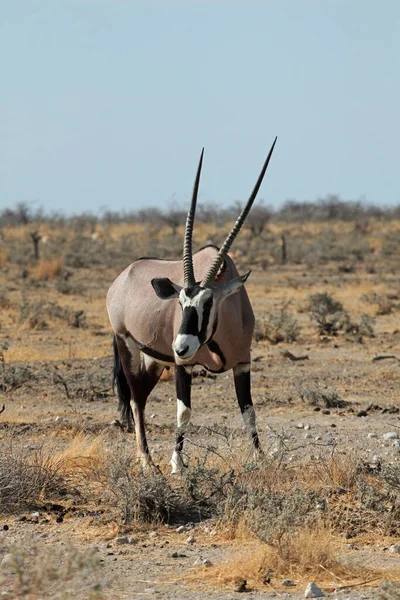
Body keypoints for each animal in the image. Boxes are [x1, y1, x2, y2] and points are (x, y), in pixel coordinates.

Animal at [109, 138, 278, 472]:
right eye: (180, 302)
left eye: (208, 301)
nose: (181, 346)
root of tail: (121, 279)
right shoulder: (182, 366)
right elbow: (183, 411)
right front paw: (177, 464)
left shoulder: (242, 362)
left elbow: (248, 410)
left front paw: (261, 458)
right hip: (129, 348)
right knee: (135, 400)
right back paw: (148, 462)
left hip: (155, 361)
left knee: (141, 396)